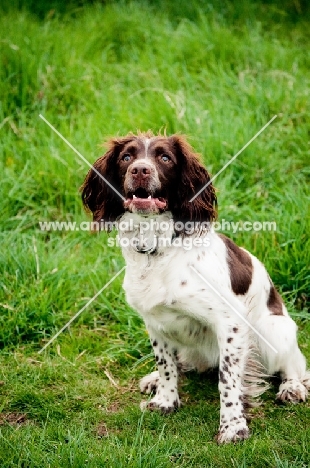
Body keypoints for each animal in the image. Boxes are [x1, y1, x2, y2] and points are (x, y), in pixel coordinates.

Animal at [81, 132, 308, 442]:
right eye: (126, 157)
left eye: (165, 158)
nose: (140, 170)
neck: (156, 248)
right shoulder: (154, 322)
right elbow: (165, 364)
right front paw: (165, 401)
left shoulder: (230, 323)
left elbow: (228, 380)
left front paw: (233, 427)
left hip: (275, 329)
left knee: (295, 364)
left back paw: (291, 388)